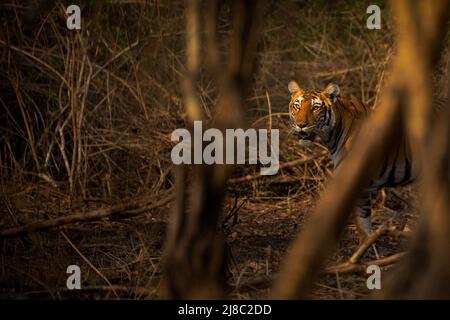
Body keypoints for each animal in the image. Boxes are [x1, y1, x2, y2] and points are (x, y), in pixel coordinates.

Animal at [286, 80, 416, 240]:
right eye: (297, 106)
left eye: (315, 107)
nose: (300, 125)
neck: (332, 135)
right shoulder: (362, 190)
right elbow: (364, 227)